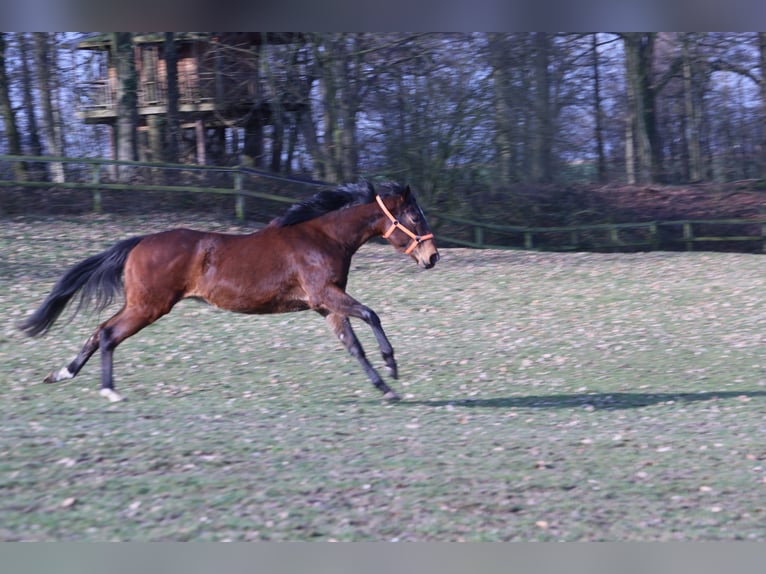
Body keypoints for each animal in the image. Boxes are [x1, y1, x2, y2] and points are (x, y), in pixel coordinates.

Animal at [19, 182, 438, 402]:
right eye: (415, 217)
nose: (432, 257)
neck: (321, 237)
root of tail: (139, 243)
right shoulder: (326, 295)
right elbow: (371, 314)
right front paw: (391, 365)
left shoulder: (326, 305)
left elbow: (354, 346)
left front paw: (385, 389)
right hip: (149, 306)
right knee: (107, 333)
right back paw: (108, 391)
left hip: (141, 305)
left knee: (98, 331)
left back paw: (63, 374)